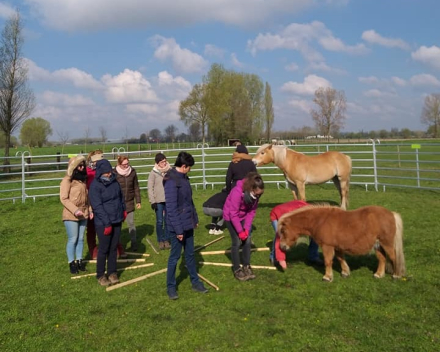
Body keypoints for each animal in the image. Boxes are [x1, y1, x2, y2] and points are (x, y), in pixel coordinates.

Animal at [278, 205, 406, 282]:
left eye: (283, 231)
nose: (282, 246)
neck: (320, 220)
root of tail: (391, 214)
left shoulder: (327, 246)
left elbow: (328, 261)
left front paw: (327, 277)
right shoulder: (337, 247)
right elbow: (340, 259)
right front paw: (345, 272)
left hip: (386, 244)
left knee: (394, 257)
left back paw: (396, 275)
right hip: (378, 245)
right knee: (382, 259)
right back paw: (379, 274)